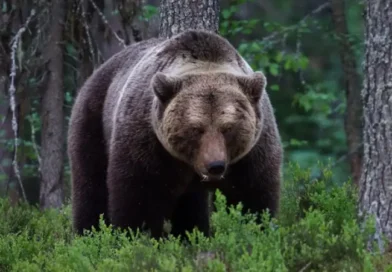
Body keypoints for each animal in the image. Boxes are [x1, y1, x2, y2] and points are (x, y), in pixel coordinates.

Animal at [66, 29, 282, 238]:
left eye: (228, 128)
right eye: (196, 128)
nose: (215, 166)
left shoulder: (252, 151)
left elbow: (253, 196)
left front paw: (255, 228)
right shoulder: (148, 141)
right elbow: (138, 196)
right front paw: (135, 236)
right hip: (93, 118)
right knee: (91, 185)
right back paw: (88, 234)